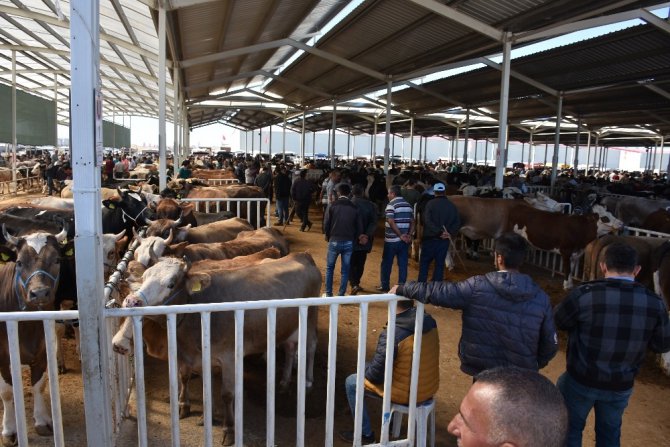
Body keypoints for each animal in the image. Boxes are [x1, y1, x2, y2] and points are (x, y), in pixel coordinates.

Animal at [0, 226, 69, 446]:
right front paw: (9, 429)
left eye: (57, 260)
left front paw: (41, 420)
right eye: (19, 262)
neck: (27, 325)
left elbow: (39, 385)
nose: (39, 293)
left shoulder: (42, 351)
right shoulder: (2, 358)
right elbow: (7, 392)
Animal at [111, 254, 322, 446]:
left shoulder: (229, 357)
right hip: (288, 325)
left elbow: (227, 394)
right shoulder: (194, 356)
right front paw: (192, 410)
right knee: (290, 348)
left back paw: (308, 381)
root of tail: (301, 255)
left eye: (171, 284)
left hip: (310, 317)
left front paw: (229, 430)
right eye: (145, 276)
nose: (132, 301)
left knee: (311, 346)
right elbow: (193, 381)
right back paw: (284, 383)